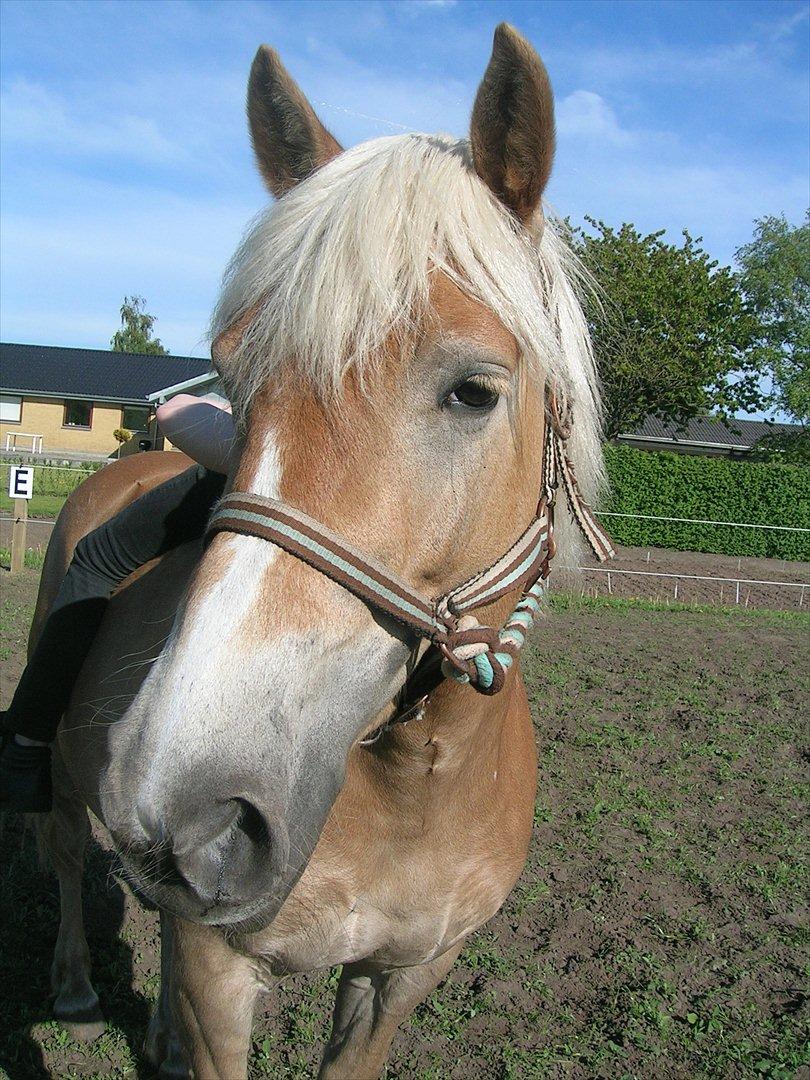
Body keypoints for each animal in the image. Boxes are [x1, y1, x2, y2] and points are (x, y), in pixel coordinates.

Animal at [34, 25, 604, 1080]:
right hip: (57, 765)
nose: (189, 810)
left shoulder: (400, 978)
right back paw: (76, 986)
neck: (413, 782)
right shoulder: (221, 975)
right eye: (236, 377)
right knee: (55, 848)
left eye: (473, 390)